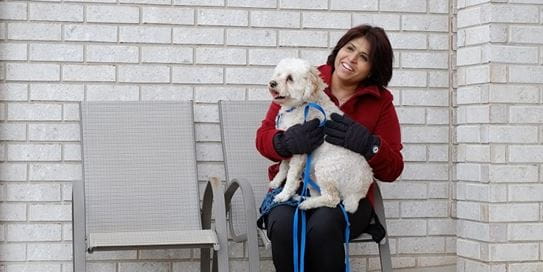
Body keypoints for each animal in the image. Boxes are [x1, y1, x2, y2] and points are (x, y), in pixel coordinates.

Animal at [268, 58, 374, 214]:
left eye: (290, 78)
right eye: (278, 74)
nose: (272, 83)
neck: (302, 105)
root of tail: (358, 192)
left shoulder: (300, 153)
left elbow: (291, 176)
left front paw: (284, 195)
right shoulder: (290, 143)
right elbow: (283, 166)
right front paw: (276, 182)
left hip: (325, 168)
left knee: (332, 199)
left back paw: (306, 203)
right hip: (312, 172)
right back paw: (303, 198)